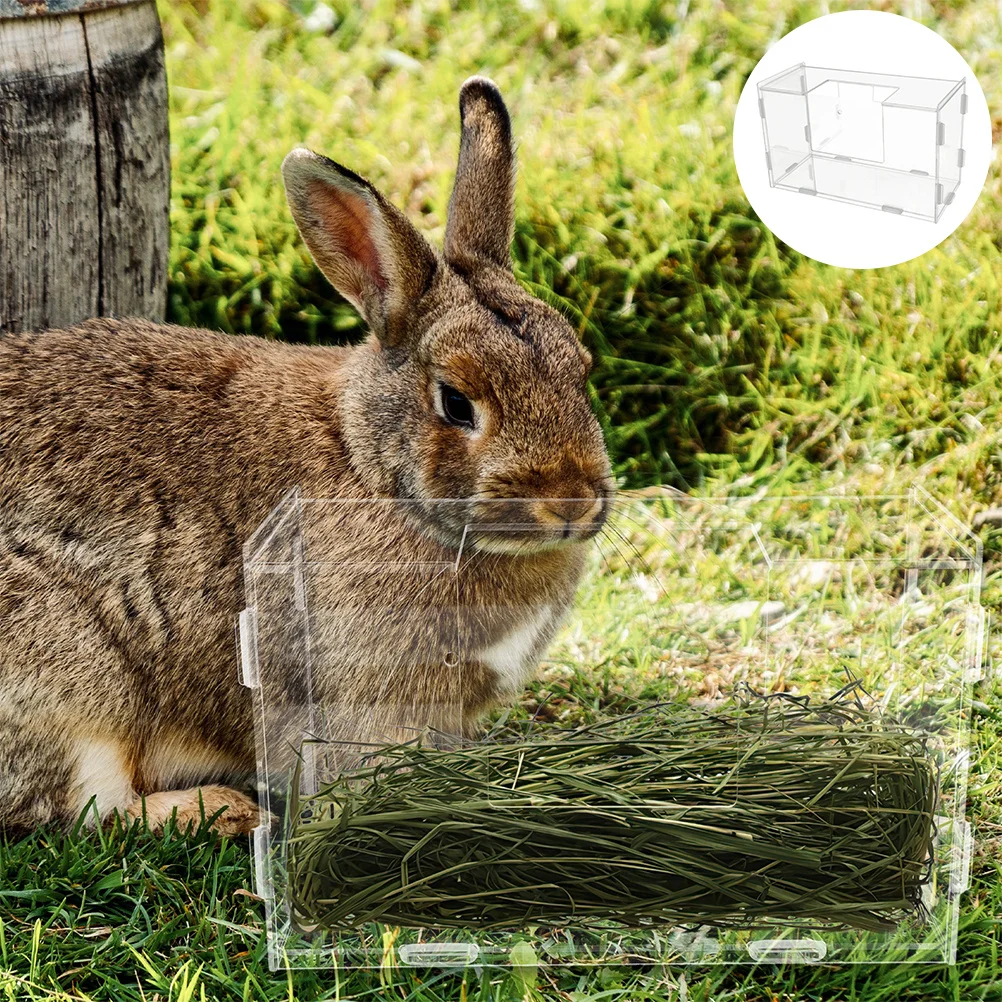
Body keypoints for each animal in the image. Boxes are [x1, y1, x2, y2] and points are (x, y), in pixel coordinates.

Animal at [0, 77, 613, 838]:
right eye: (456, 402)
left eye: (581, 369)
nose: (571, 501)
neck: (373, 471)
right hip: (73, 682)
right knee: (81, 806)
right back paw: (221, 810)